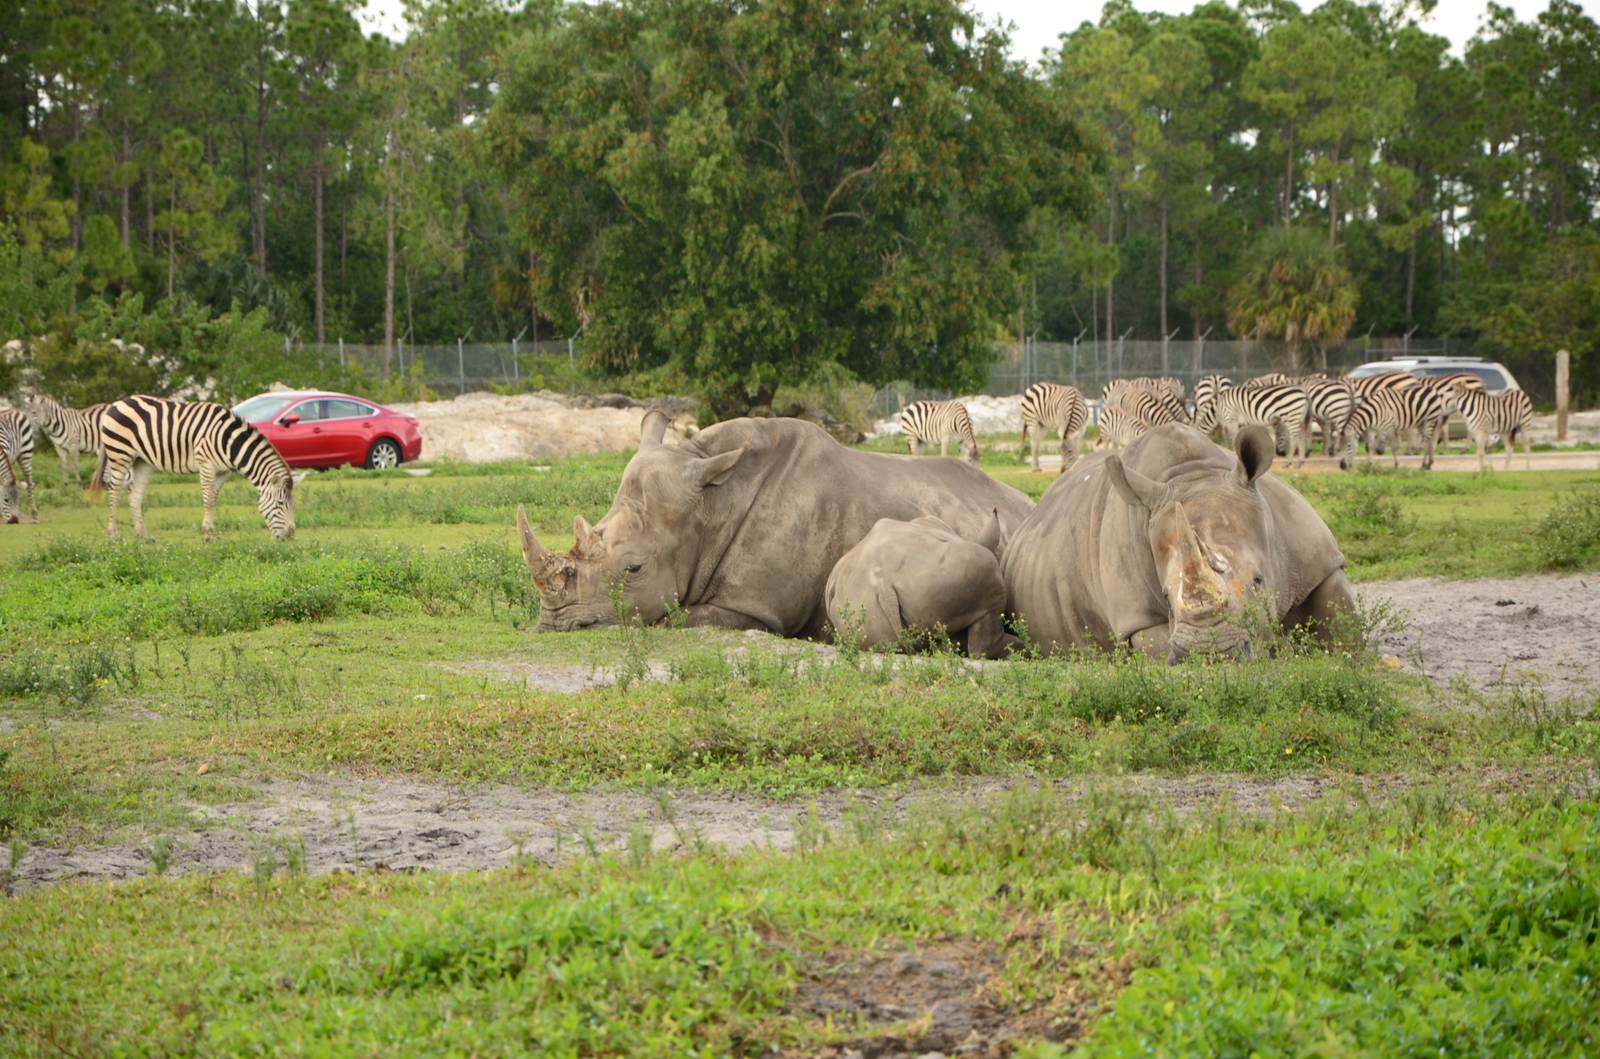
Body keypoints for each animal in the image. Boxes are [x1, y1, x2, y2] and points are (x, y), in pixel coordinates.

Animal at [90, 398, 297, 547]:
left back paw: (143, 536)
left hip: (143, 461)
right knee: (114, 492)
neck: (229, 441)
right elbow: (208, 500)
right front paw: (208, 535)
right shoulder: (206, 464)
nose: (290, 535)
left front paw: (210, 533)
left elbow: (214, 499)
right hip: (120, 453)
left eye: (292, 505)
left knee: (134, 495)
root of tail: (117, 403)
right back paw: (113, 535)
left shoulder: (223, 472)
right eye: (280, 504)